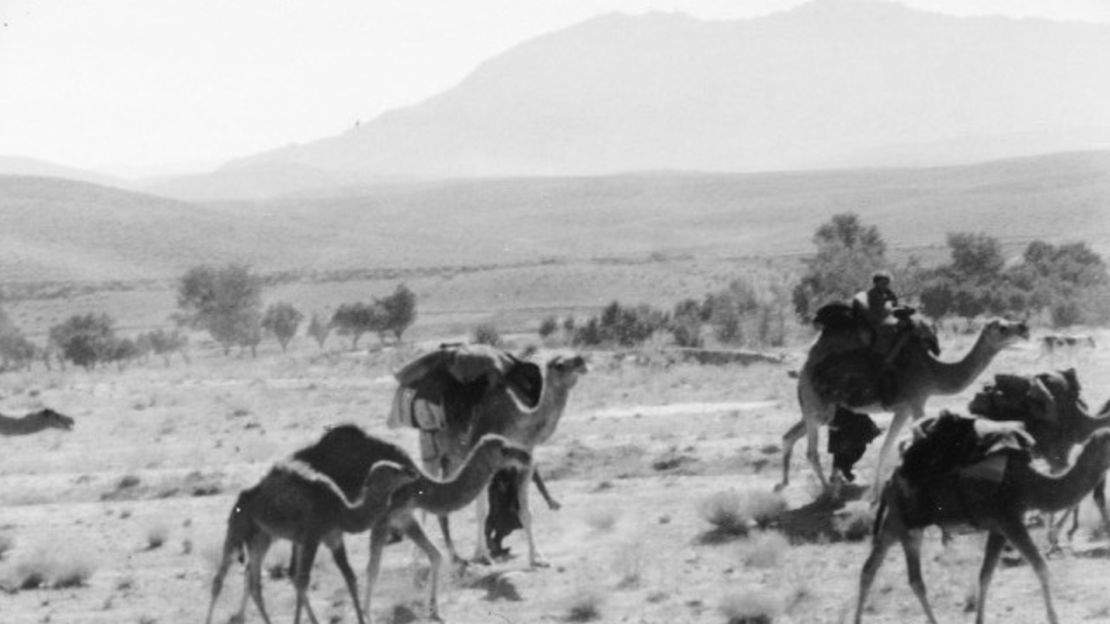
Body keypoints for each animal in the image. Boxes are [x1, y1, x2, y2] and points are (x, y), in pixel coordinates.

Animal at [205, 457, 419, 621]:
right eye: (393, 470)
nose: (412, 471)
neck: (340, 511)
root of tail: (243, 496)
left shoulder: (333, 538)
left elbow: (349, 576)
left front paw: (361, 618)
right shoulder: (312, 537)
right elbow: (302, 581)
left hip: (262, 536)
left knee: (253, 582)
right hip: (238, 526)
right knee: (219, 579)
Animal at [290, 424, 532, 617]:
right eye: (504, 449)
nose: (527, 457)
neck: (420, 487)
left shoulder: (404, 517)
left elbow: (435, 555)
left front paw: (434, 609)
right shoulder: (383, 519)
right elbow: (373, 570)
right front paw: (366, 613)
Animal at [395, 344, 594, 564]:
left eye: (575, 356)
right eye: (559, 364)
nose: (581, 361)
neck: (515, 422)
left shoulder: (526, 462)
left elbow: (526, 511)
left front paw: (537, 558)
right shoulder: (486, 459)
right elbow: (482, 511)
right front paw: (481, 555)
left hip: (453, 459)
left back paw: (454, 556)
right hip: (430, 448)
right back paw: (418, 557)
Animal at [777, 315, 1025, 495]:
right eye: (1002, 327)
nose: (1023, 327)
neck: (933, 373)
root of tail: (803, 372)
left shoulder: (903, 410)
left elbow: (886, 448)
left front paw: (875, 494)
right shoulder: (917, 403)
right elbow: (917, 442)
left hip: (818, 409)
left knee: (789, 436)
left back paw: (784, 483)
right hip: (818, 406)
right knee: (810, 451)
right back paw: (828, 492)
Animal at [856, 426, 1110, 621]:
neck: (1030, 483)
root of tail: (889, 481)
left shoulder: (998, 528)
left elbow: (985, 575)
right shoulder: (1010, 520)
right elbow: (1041, 567)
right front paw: (1054, 618)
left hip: (900, 524)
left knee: (875, 570)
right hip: (904, 523)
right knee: (909, 578)